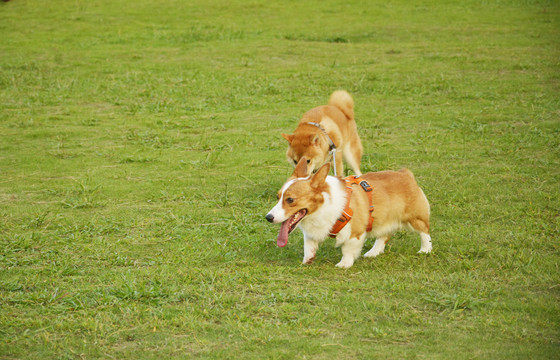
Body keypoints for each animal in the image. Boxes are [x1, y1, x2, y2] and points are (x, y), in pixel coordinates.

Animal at [264, 158, 430, 268]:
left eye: (290, 200)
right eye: (278, 197)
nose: (268, 217)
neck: (322, 206)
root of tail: (405, 174)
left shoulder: (354, 233)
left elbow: (347, 249)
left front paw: (344, 264)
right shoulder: (312, 233)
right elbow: (309, 247)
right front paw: (307, 261)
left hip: (415, 218)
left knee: (424, 231)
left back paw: (425, 250)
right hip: (383, 220)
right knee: (384, 235)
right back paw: (373, 252)